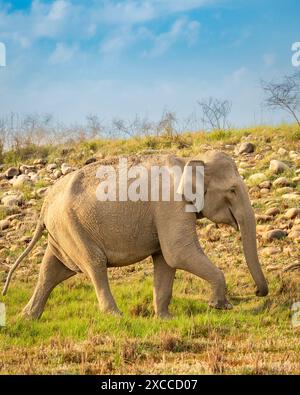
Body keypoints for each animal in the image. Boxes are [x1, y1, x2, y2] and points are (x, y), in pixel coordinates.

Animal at [2, 150, 270, 320]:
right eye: (232, 190)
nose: (258, 292)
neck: (189, 160)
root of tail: (45, 204)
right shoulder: (171, 205)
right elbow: (178, 253)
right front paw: (221, 306)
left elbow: (165, 260)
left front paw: (166, 319)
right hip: (72, 227)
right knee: (94, 264)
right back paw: (116, 316)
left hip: (62, 232)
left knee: (52, 270)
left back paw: (27, 319)